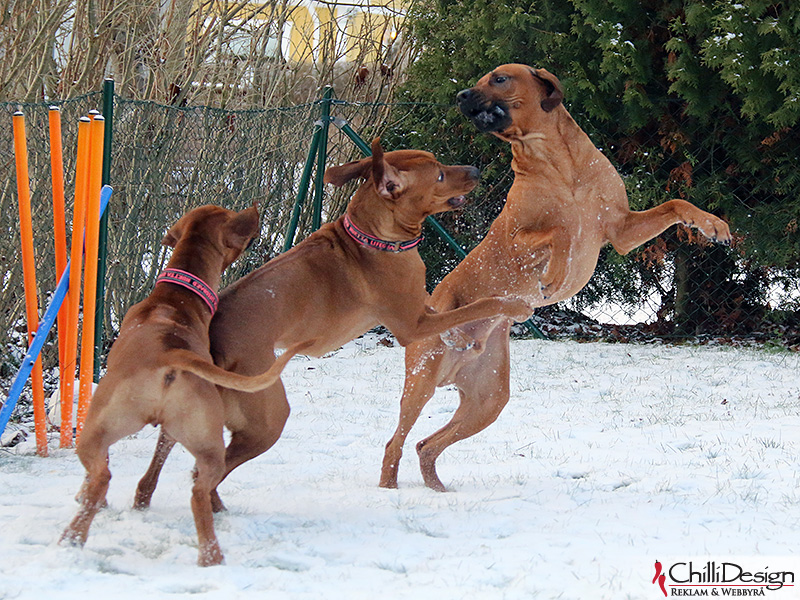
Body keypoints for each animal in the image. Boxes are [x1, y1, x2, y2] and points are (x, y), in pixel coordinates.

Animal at [60, 204, 312, 564]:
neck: (176, 296)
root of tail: (171, 354)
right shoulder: (172, 430)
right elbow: (155, 464)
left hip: (98, 429)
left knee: (103, 476)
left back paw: (74, 536)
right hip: (205, 443)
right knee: (197, 489)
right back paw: (209, 555)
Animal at [133, 139, 532, 516]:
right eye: (438, 175)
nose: (476, 170)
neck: (374, 238)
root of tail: (205, 345)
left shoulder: (421, 310)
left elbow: (453, 318)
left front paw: (462, 337)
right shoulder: (411, 324)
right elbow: (480, 305)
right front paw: (513, 306)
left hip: (190, 410)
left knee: (163, 462)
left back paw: (150, 499)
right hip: (266, 417)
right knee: (205, 472)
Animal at [380, 63, 732, 490]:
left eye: (498, 78)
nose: (461, 95)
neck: (559, 163)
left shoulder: (620, 230)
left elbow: (675, 203)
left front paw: (712, 225)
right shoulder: (516, 236)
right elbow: (561, 230)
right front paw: (555, 273)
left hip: (488, 399)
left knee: (425, 445)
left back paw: (437, 490)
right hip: (422, 378)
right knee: (395, 442)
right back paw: (389, 490)